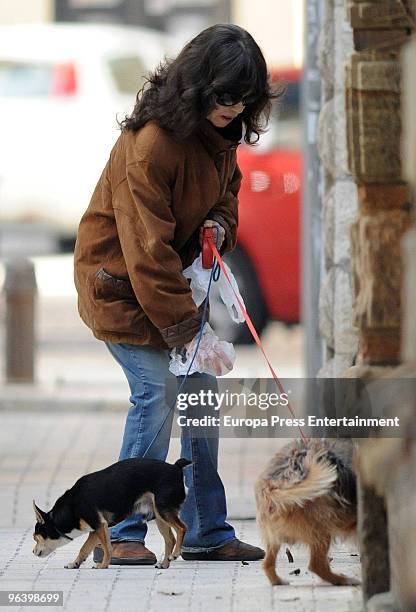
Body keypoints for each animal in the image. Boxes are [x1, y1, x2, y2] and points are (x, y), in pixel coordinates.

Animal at [32, 460, 190, 568]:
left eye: (35, 538)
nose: (33, 552)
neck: (71, 507)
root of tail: (176, 467)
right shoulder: (96, 529)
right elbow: (84, 548)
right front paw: (75, 563)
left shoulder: (99, 525)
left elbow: (107, 547)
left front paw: (103, 565)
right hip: (159, 514)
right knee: (170, 539)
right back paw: (165, 563)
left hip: (163, 509)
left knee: (182, 528)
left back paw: (176, 553)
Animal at [255, 440, 360, 588]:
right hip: (322, 528)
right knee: (316, 565)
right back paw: (342, 580)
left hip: (273, 536)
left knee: (267, 563)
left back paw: (277, 581)